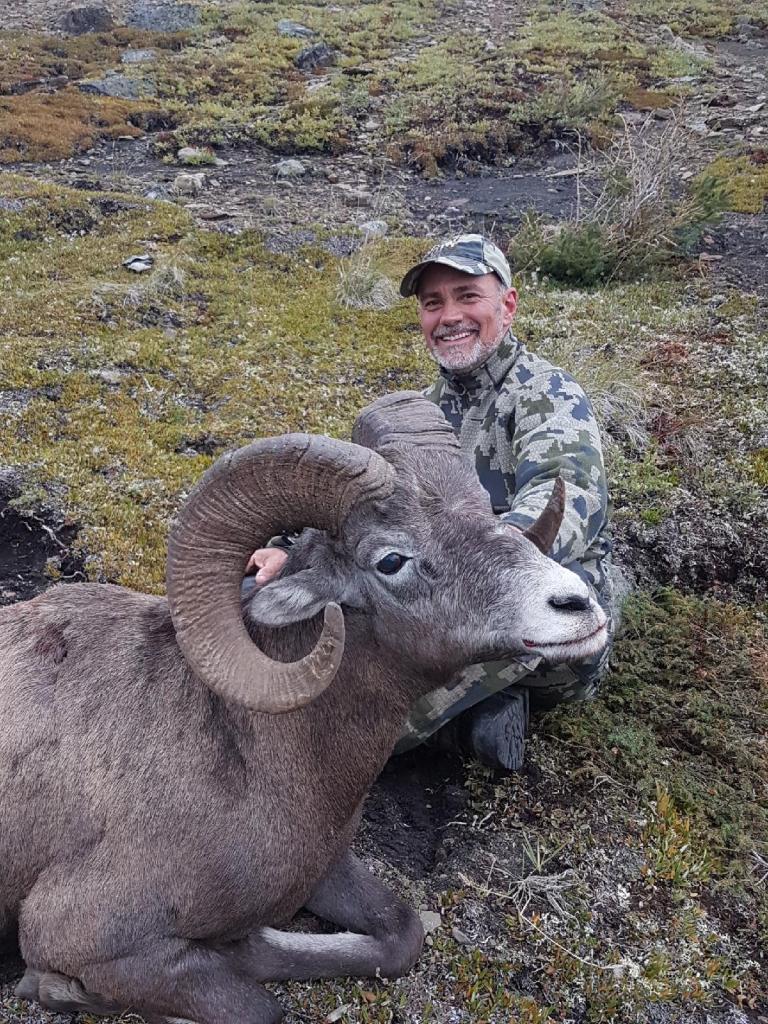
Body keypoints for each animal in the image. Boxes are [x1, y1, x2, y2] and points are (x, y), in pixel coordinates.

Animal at [1, 393, 606, 1024]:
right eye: (391, 560)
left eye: (490, 512)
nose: (576, 604)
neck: (265, 763)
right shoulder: (85, 935)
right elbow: (261, 1008)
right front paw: (59, 988)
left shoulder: (326, 869)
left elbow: (402, 935)